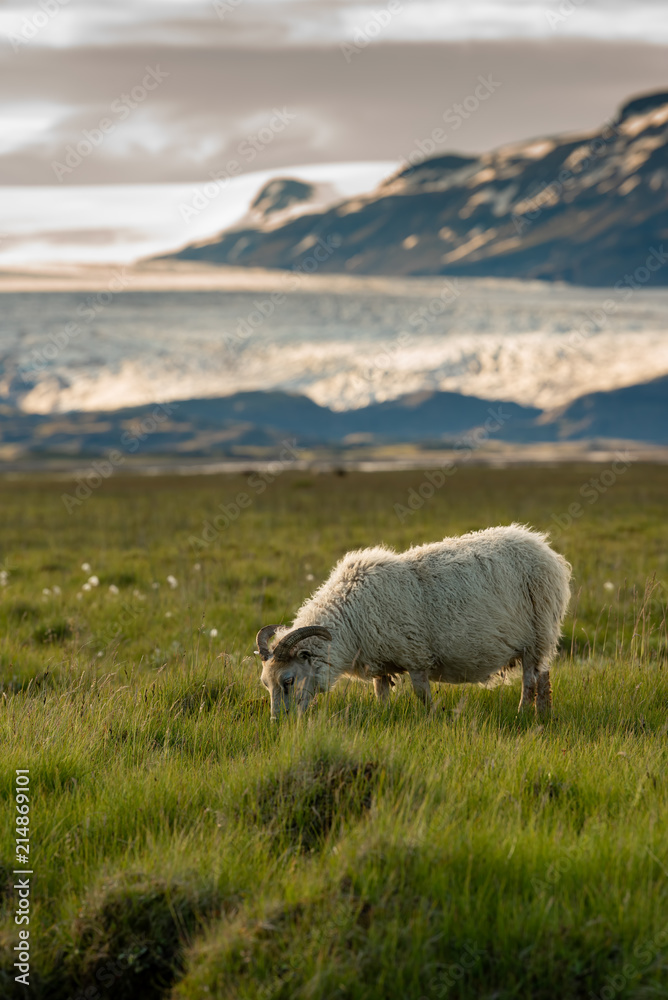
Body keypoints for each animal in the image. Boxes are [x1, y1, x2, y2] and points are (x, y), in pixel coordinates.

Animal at [256, 524, 571, 721]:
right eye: (265, 684)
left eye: (288, 680)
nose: (277, 722)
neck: (350, 618)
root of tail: (542, 546)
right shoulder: (379, 664)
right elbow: (381, 695)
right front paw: (385, 716)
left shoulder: (416, 656)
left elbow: (423, 697)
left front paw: (433, 720)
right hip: (539, 638)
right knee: (543, 678)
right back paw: (544, 715)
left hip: (538, 633)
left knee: (531, 680)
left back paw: (524, 714)